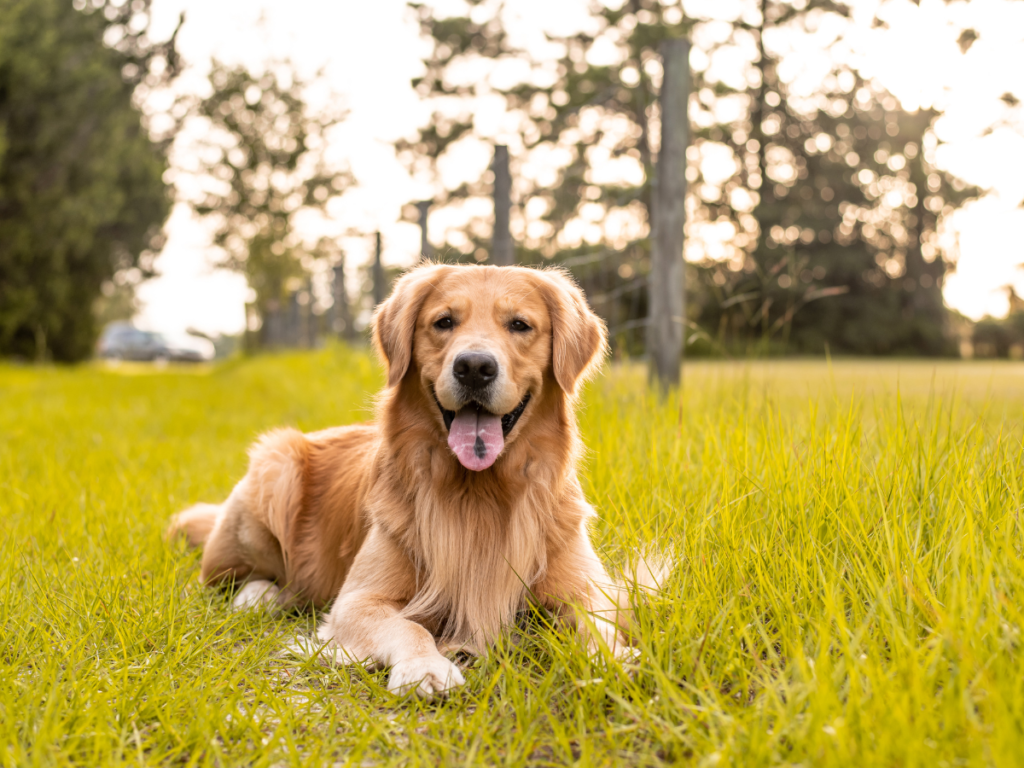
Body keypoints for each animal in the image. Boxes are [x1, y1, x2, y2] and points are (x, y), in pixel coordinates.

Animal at [168, 264, 647, 696]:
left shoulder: (587, 590)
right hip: (275, 466)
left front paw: (614, 660)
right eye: (444, 322)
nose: (474, 366)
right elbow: (409, 628)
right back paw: (260, 597)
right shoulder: (358, 601)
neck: (479, 493)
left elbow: (599, 625)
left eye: (519, 325)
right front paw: (425, 667)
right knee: (230, 579)